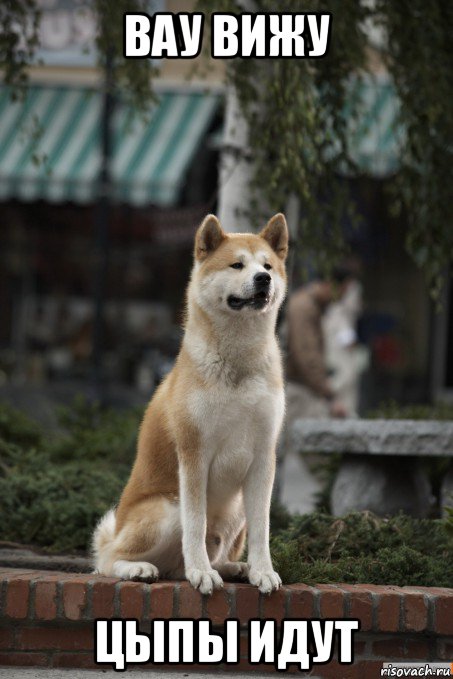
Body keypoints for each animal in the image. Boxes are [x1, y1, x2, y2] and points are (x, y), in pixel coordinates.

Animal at [93, 212, 288, 596]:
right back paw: (142, 568)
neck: (237, 364)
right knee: (108, 560)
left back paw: (235, 568)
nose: (263, 279)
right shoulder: (194, 454)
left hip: (236, 509)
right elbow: (195, 526)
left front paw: (263, 571)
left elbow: (262, 530)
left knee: (203, 558)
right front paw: (201, 573)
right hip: (167, 508)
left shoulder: (263, 457)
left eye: (268, 266)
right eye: (237, 264)